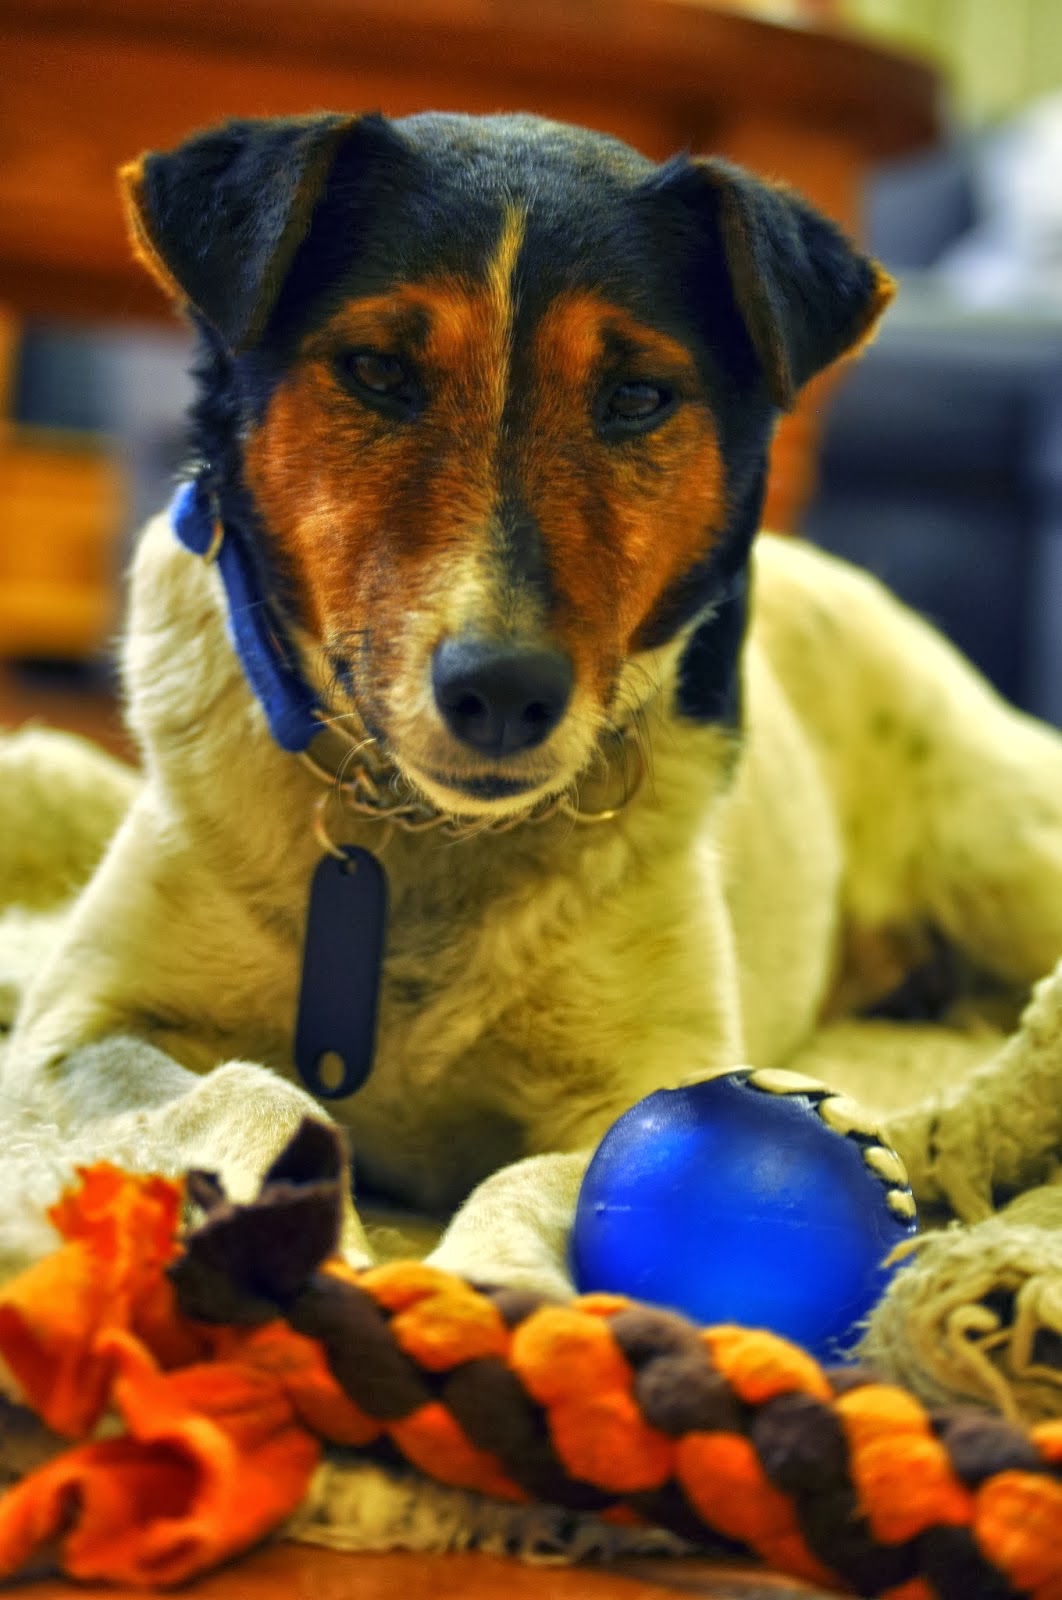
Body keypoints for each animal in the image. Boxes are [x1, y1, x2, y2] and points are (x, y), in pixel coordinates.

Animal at [6, 111, 1062, 1294]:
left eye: (637, 398)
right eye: (377, 369)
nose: (503, 690)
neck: (426, 835)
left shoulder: (646, 1072)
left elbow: (548, 1172)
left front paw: (481, 1287)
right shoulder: (75, 1028)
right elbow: (246, 1088)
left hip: (1002, 857)